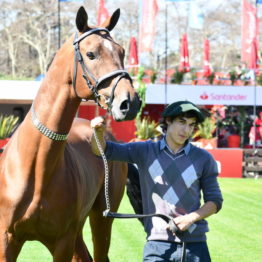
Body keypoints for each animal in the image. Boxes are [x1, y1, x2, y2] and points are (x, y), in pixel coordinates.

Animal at [0, 6, 140, 262]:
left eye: (122, 51)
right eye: (91, 54)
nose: (129, 102)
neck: (36, 168)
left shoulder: (62, 241)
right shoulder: (6, 240)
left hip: (101, 219)